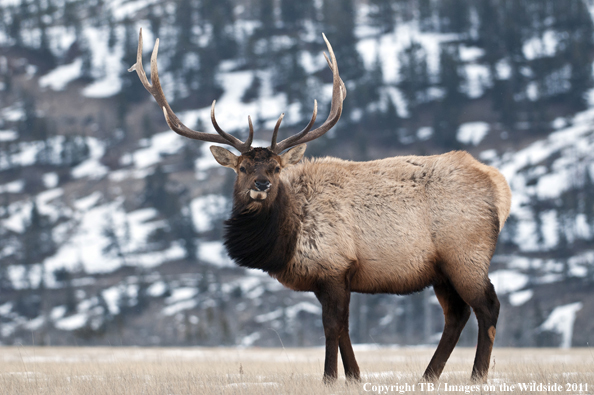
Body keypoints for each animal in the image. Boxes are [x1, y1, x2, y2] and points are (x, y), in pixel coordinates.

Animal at [128, 27, 508, 384]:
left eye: (276, 167)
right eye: (243, 168)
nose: (262, 185)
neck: (285, 238)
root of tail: (500, 186)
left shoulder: (336, 267)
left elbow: (332, 328)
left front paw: (330, 377)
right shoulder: (327, 279)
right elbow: (343, 330)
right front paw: (354, 376)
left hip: (465, 253)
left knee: (488, 306)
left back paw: (477, 375)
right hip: (441, 270)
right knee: (456, 315)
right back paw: (428, 376)